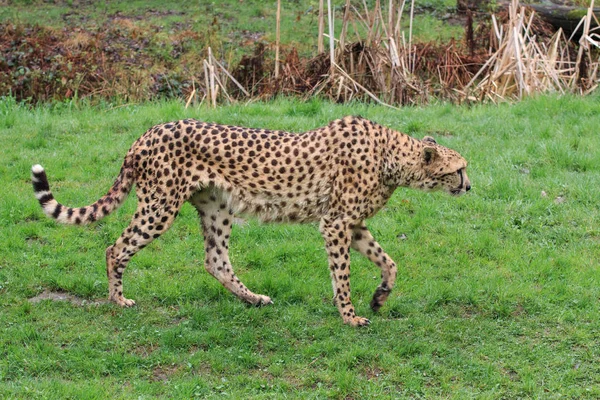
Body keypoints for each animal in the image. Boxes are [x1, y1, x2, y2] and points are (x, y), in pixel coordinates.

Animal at [30, 115, 472, 324]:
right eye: (459, 170)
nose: (469, 187)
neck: (392, 157)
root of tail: (147, 133)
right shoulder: (335, 223)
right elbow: (343, 276)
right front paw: (349, 316)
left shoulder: (353, 223)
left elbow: (389, 261)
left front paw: (380, 297)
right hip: (160, 205)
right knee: (115, 247)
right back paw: (117, 299)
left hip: (216, 207)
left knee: (215, 260)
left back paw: (254, 298)